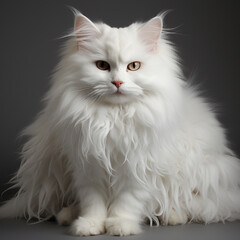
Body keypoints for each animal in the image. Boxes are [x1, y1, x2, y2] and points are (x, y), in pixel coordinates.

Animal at [0, 9, 240, 236]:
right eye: (102, 66)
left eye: (133, 66)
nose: (117, 82)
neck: (113, 119)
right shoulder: (88, 166)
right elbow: (92, 203)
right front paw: (90, 225)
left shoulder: (138, 169)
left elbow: (127, 202)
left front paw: (120, 225)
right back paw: (67, 215)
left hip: (200, 174)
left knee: (187, 204)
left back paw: (173, 217)